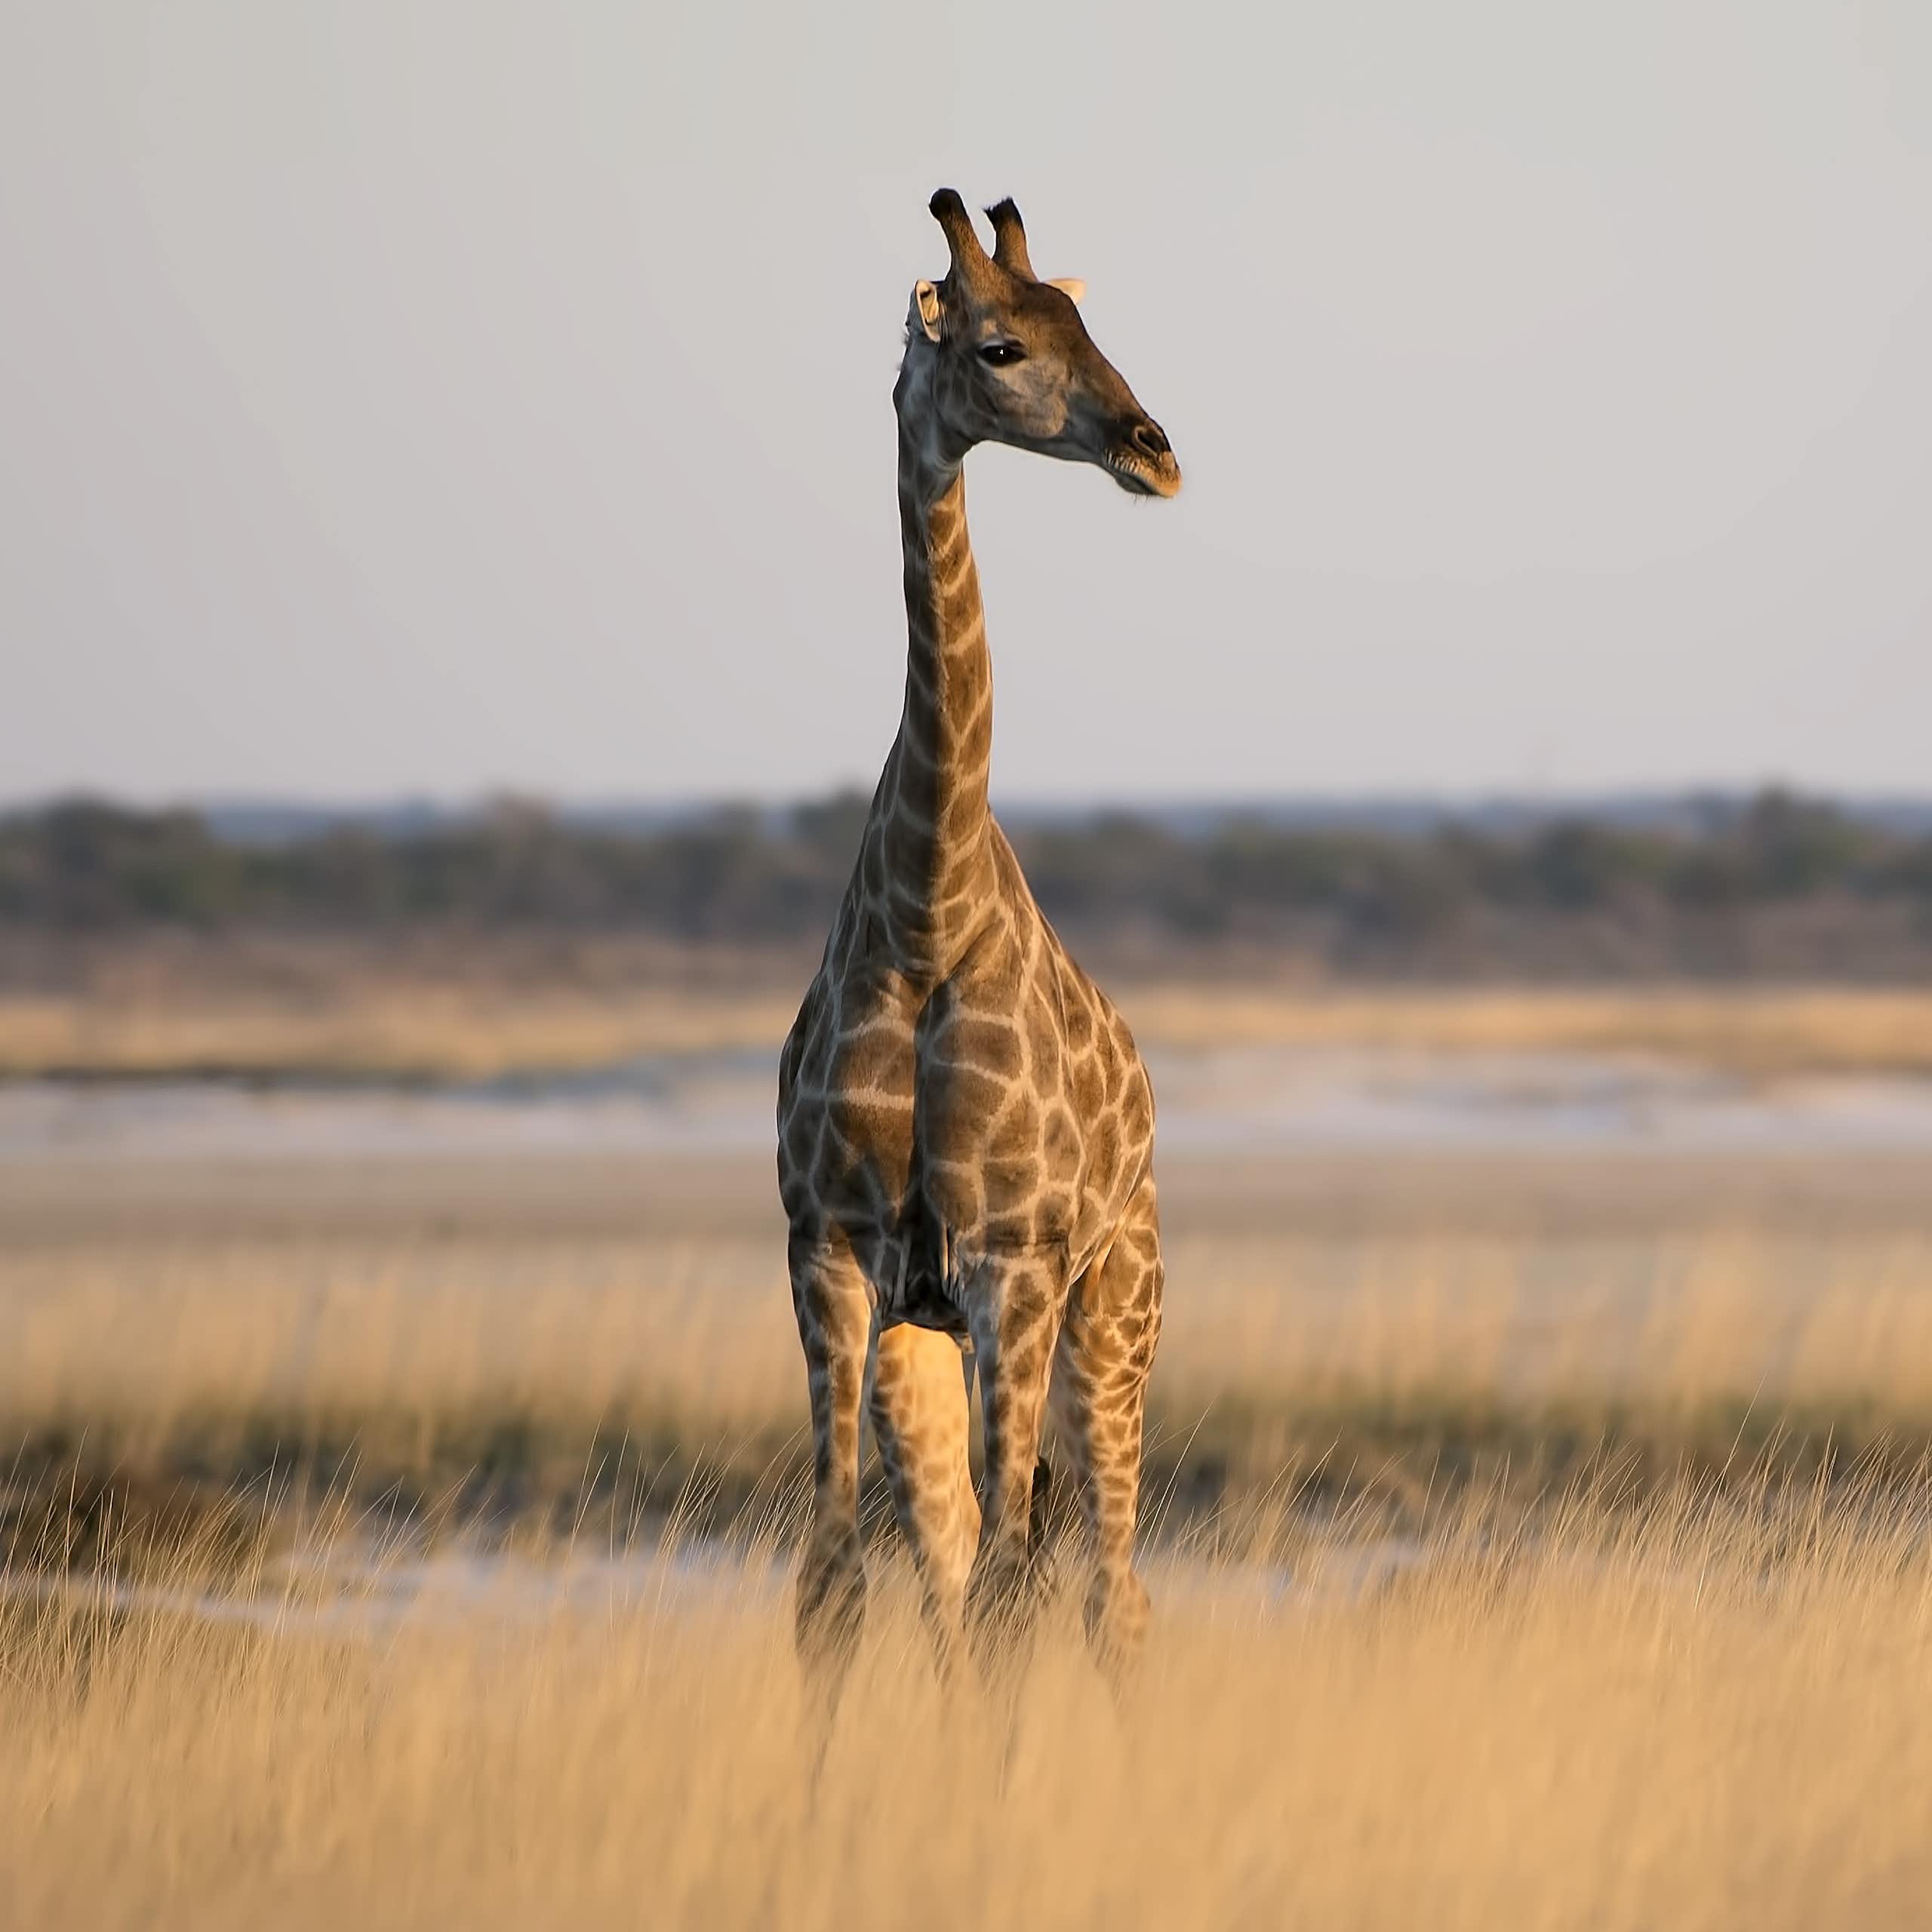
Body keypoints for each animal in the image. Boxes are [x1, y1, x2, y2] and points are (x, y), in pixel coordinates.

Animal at [776, 188, 1180, 1688]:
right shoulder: (830, 1254)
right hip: (930, 1343)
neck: (924, 916)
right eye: (1000, 345)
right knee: (957, 1572)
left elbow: (1020, 1593)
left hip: (1111, 1319)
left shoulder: (1011, 1261)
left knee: (1107, 1591)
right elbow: (833, 1585)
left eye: (1089, 325)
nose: (1153, 449)